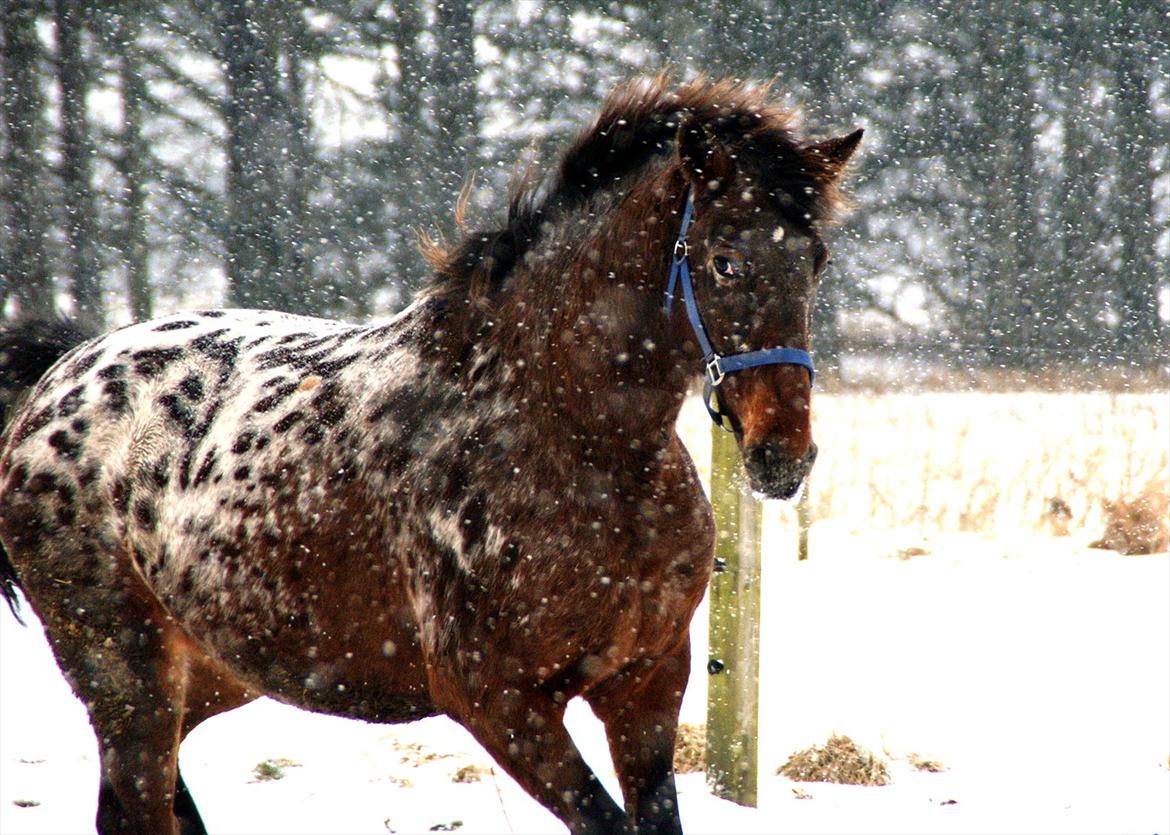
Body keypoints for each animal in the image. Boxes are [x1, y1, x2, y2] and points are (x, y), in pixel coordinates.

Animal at [0, 74, 861, 827]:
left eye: (814, 260)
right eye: (725, 259)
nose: (783, 456)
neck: (575, 446)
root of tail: (54, 382)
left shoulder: (647, 685)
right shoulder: (497, 701)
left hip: (214, 669)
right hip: (127, 675)